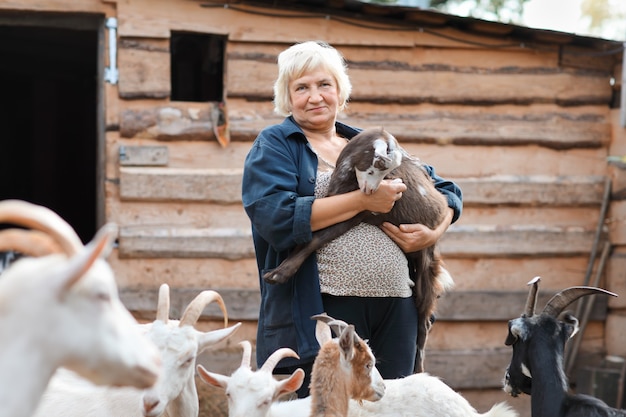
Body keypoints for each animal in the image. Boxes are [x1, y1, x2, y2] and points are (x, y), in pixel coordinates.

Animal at [260, 126, 450, 370]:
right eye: (377, 164)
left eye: (389, 170)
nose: (370, 192)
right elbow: (306, 237)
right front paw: (277, 272)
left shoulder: (358, 213)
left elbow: (316, 239)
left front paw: (278, 275)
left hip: (426, 270)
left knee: (423, 324)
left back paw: (418, 369)